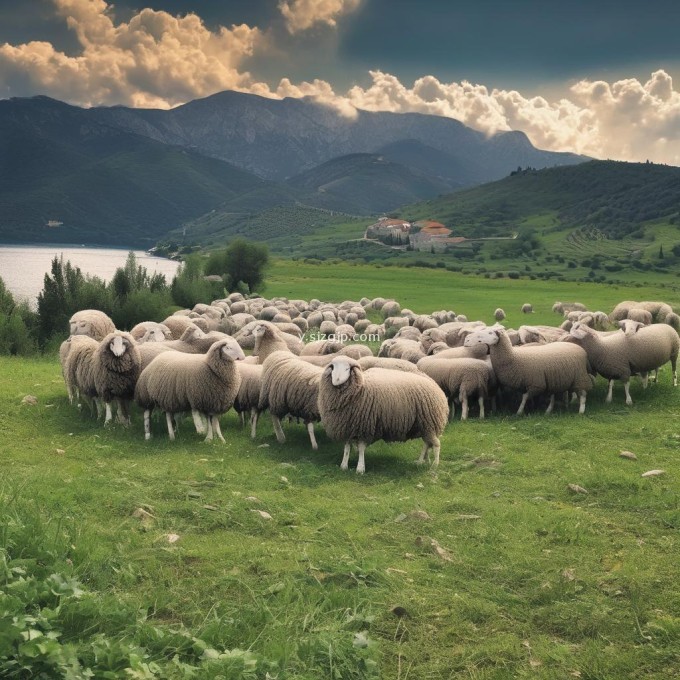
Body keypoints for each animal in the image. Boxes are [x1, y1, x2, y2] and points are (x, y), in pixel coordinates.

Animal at [320, 358, 452, 476]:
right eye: (333, 368)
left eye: (347, 369)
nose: (337, 380)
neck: (361, 388)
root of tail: (436, 385)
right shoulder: (347, 427)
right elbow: (347, 448)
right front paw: (343, 466)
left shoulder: (364, 427)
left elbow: (361, 449)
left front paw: (360, 469)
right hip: (424, 426)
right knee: (426, 444)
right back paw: (420, 462)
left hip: (430, 423)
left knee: (436, 444)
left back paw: (434, 465)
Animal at [464, 326, 592, 414]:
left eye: (490, 333)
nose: (467, 340)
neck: (514, 357)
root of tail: (581, 350)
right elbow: (525, 397)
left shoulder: (535, 383)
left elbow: (525, 397)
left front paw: (519, 411)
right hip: (561, 378)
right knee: (560, 393)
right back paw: (554, 408)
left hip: (579, 376)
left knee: (583, 394)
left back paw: (581, 410)